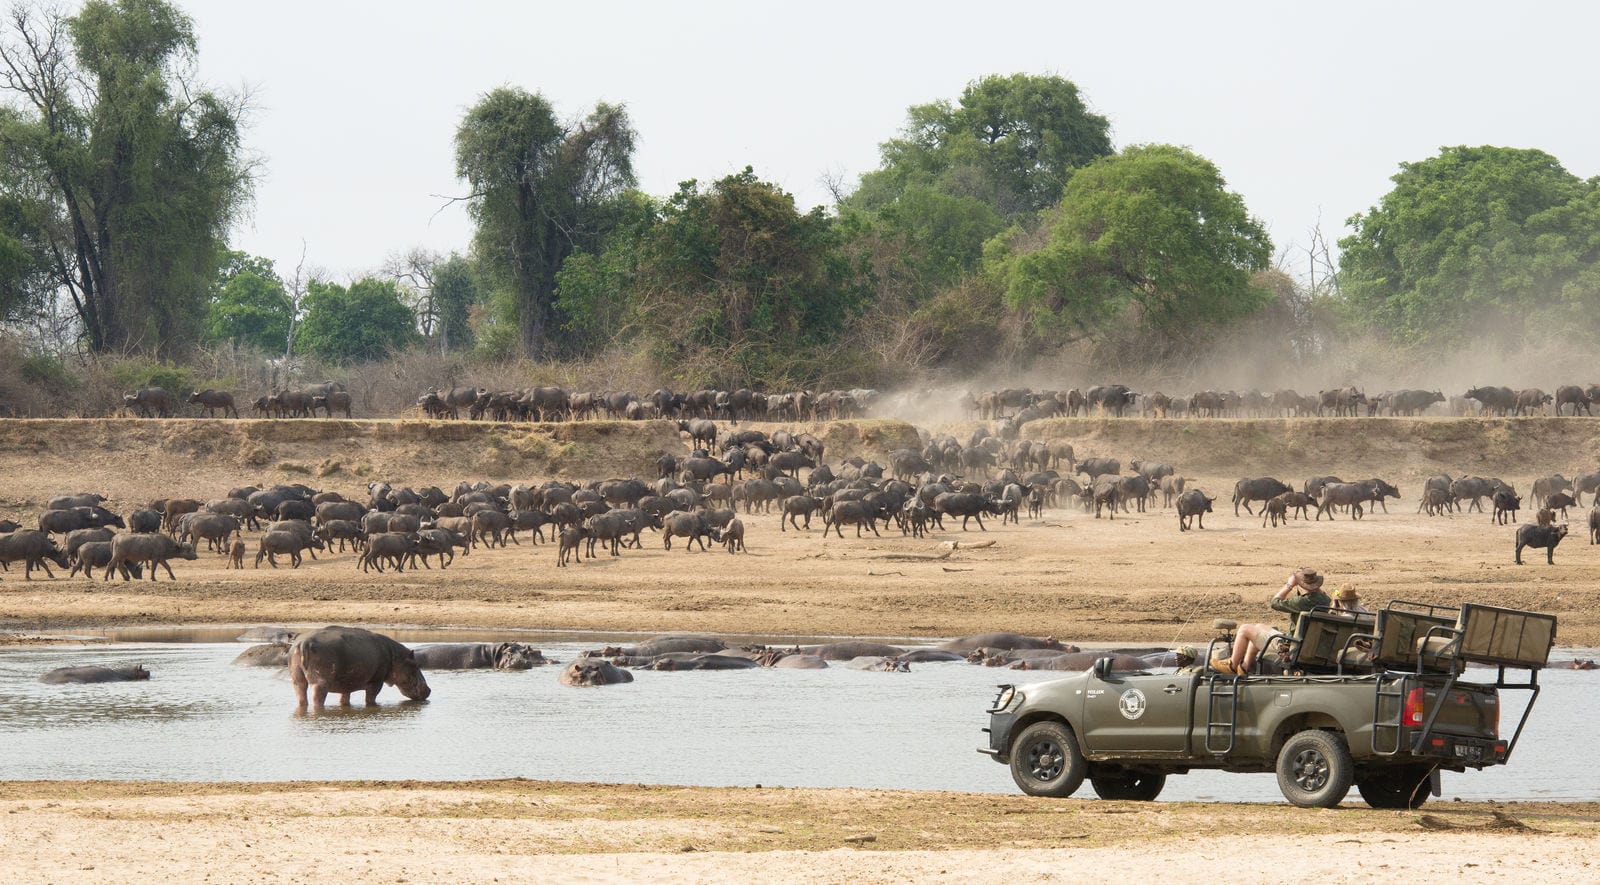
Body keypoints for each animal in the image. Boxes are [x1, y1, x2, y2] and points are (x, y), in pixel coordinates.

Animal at [284, 620, 428, 710]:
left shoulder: (346, 683)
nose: (429, 689)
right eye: (415, 665)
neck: (395, 656)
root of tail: (303, 643)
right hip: (320, 683)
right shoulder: (376, 681)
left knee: (301, 696)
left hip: (297, 679)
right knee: (317, 699)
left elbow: (344, 698)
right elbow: (370, 698)